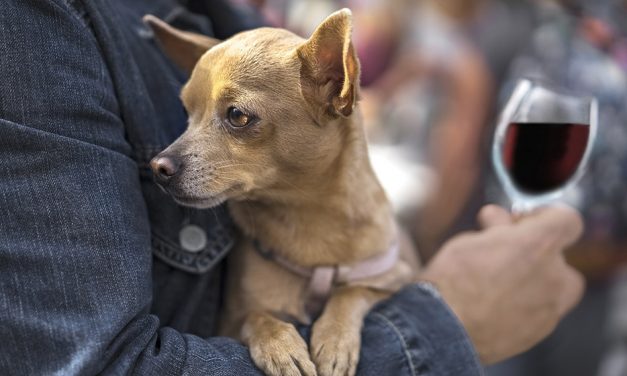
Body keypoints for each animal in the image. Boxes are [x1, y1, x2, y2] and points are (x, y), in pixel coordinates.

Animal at [147, 11, 420, 376]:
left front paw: (335, 338)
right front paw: (280, 345)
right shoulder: (227, 323)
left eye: (237, 116)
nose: (158, 166)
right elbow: (256, 316)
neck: (306, 222)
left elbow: (353, 292)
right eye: (187, 113)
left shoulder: (399, 278)